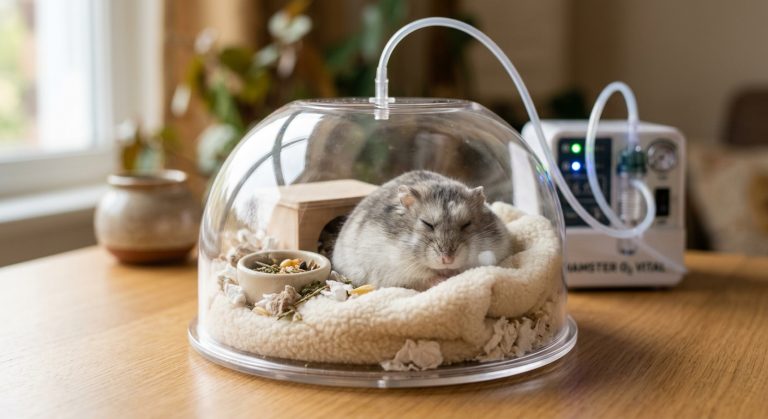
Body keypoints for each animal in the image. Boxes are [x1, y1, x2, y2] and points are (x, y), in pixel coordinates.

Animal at [332, 170, 512, 291]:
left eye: (466, 224)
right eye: (427, 223)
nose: (448, 259)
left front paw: (453, 273)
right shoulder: (396, 268)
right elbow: (424, 277)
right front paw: (442, 279)